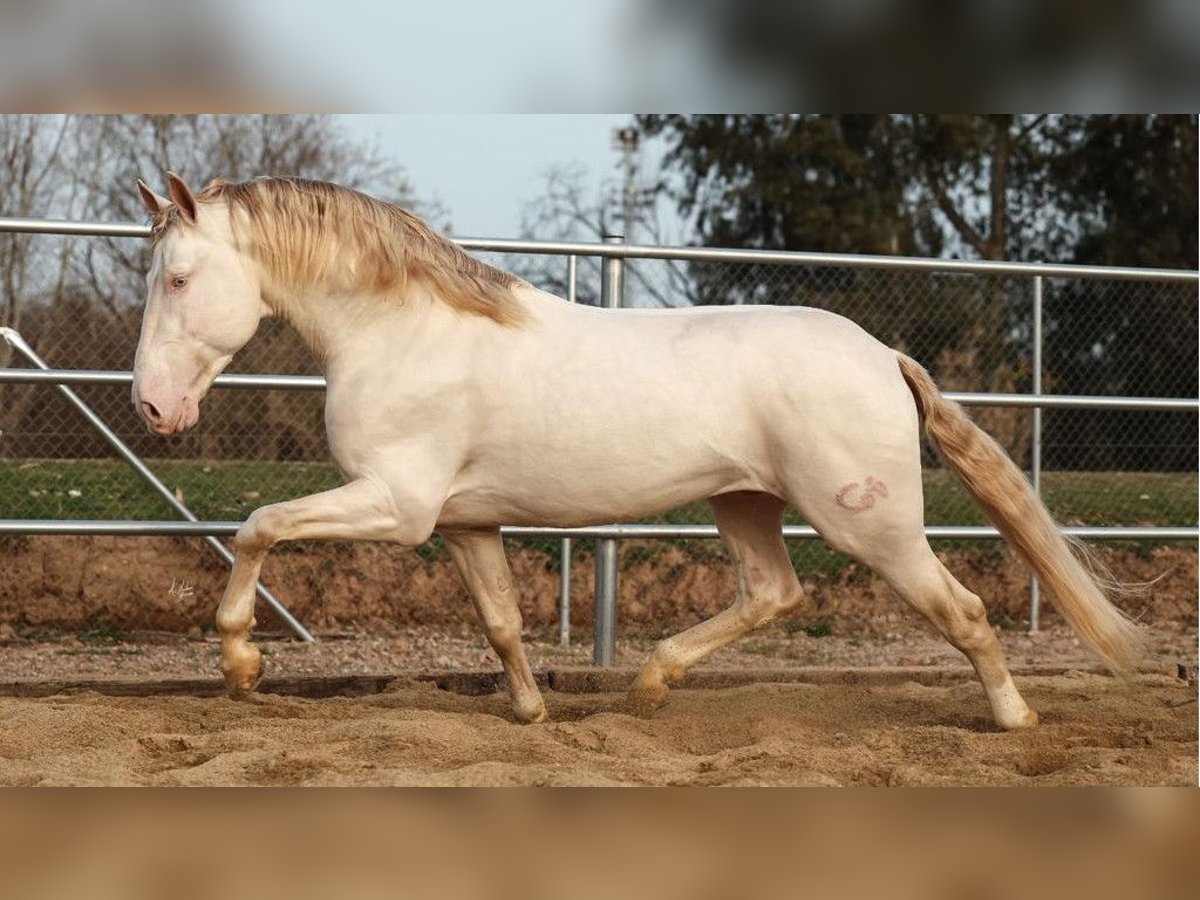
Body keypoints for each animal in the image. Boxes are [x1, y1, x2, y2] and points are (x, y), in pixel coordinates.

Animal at [131, 174, 1142, 734]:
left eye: (177, 279)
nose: (151, 407)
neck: (405, 333)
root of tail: (884, 356)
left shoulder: (398, 505)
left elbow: (259, 527)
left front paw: (242, 668)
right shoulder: (464, 523)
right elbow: (502, 623)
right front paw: (534, 714)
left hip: (873, 525)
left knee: (961, 610)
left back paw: (1013, 718)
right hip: (744, 503)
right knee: (774, 594)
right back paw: (652, 688)